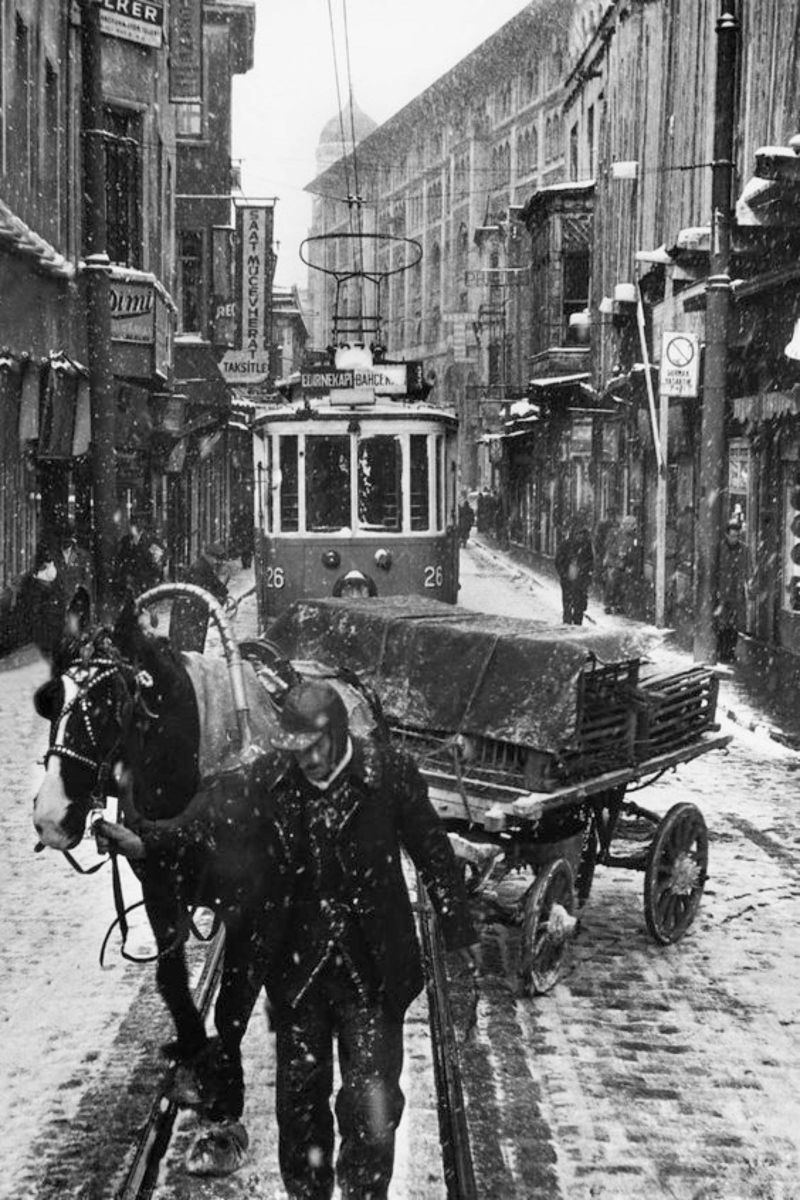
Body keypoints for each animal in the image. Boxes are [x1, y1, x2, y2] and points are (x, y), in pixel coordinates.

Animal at [32, 595, 297, 1176]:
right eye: (52, 698)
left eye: (110, 702)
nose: (51, 815)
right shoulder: (160, 889)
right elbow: (174, 981)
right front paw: (196, 1064)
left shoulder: (253, 904)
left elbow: (233, 998)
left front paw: (224, 1110)